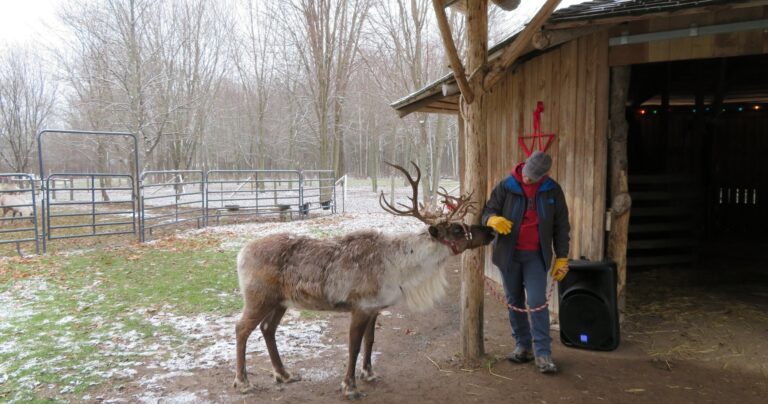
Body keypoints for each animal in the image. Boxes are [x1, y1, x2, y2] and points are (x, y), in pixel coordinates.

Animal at [233, 162, 495, 399]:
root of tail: (241, 253)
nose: (490, 231)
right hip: (258, 298)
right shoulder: (359, 308)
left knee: (267, 329)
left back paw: (284, 374)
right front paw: (349, 386)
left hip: (280, 301)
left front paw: (369, 374)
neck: (400, 268)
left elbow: (370, 341)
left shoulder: (374, 308)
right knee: (242, 329)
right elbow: (354, 346)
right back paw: (243, 382)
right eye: (457, 230)